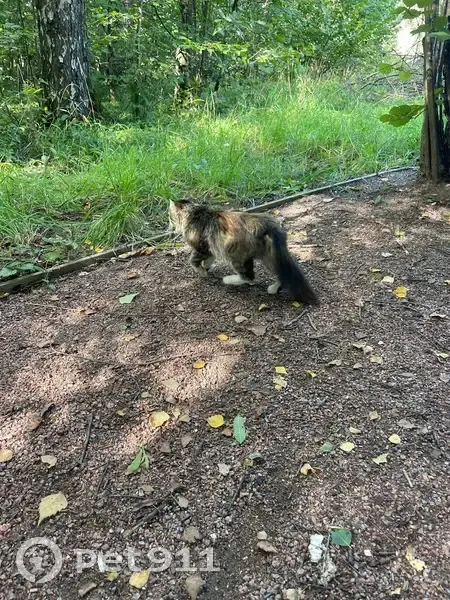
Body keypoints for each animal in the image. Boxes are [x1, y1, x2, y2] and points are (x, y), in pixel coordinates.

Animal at [168, 199, 319, 305]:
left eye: (170, 217)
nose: (169, 224)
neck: (194, 214)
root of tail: (268, 225)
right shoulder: (211, 248)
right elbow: (209, 259)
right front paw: (206, 267)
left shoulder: (201, 247)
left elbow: (193, 260)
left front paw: (202, 272)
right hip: (269, 257)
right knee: (279, 274)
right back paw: (273, 289)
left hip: (237, 257)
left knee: (249, 276)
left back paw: (228, 280)